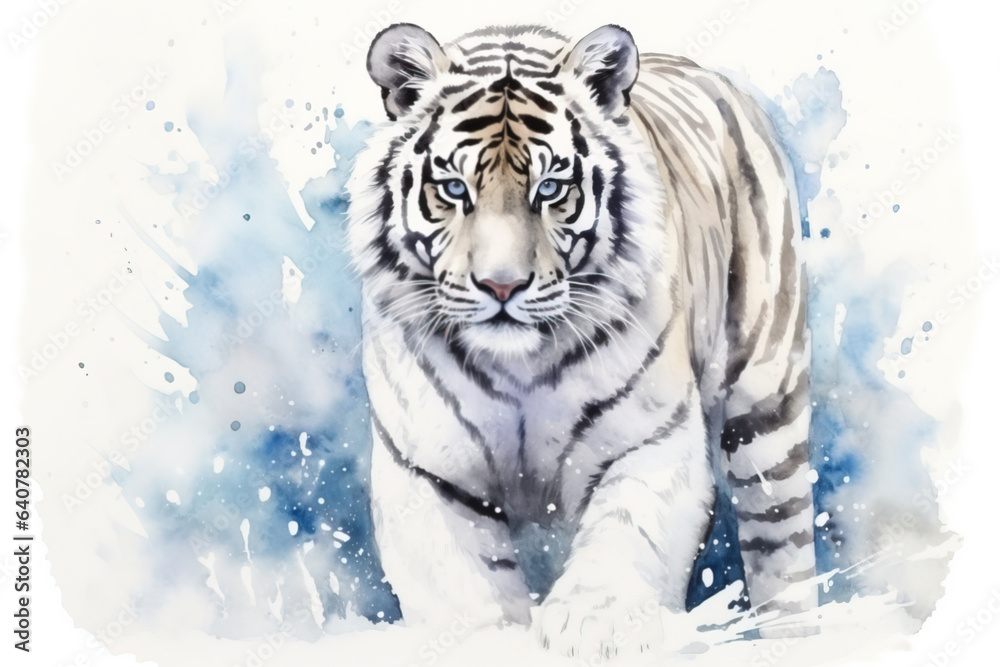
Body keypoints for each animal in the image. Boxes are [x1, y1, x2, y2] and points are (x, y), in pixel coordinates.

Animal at [345, 23, 817, 657]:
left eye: (550, 188)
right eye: (453, 188)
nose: (501, 284)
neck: (518, 369)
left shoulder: (652, 439)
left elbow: (627, 534)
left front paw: (596, 628)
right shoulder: (428, 471)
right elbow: (463, 593)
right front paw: (483, 640)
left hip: (768, 409)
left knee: (782, 547)